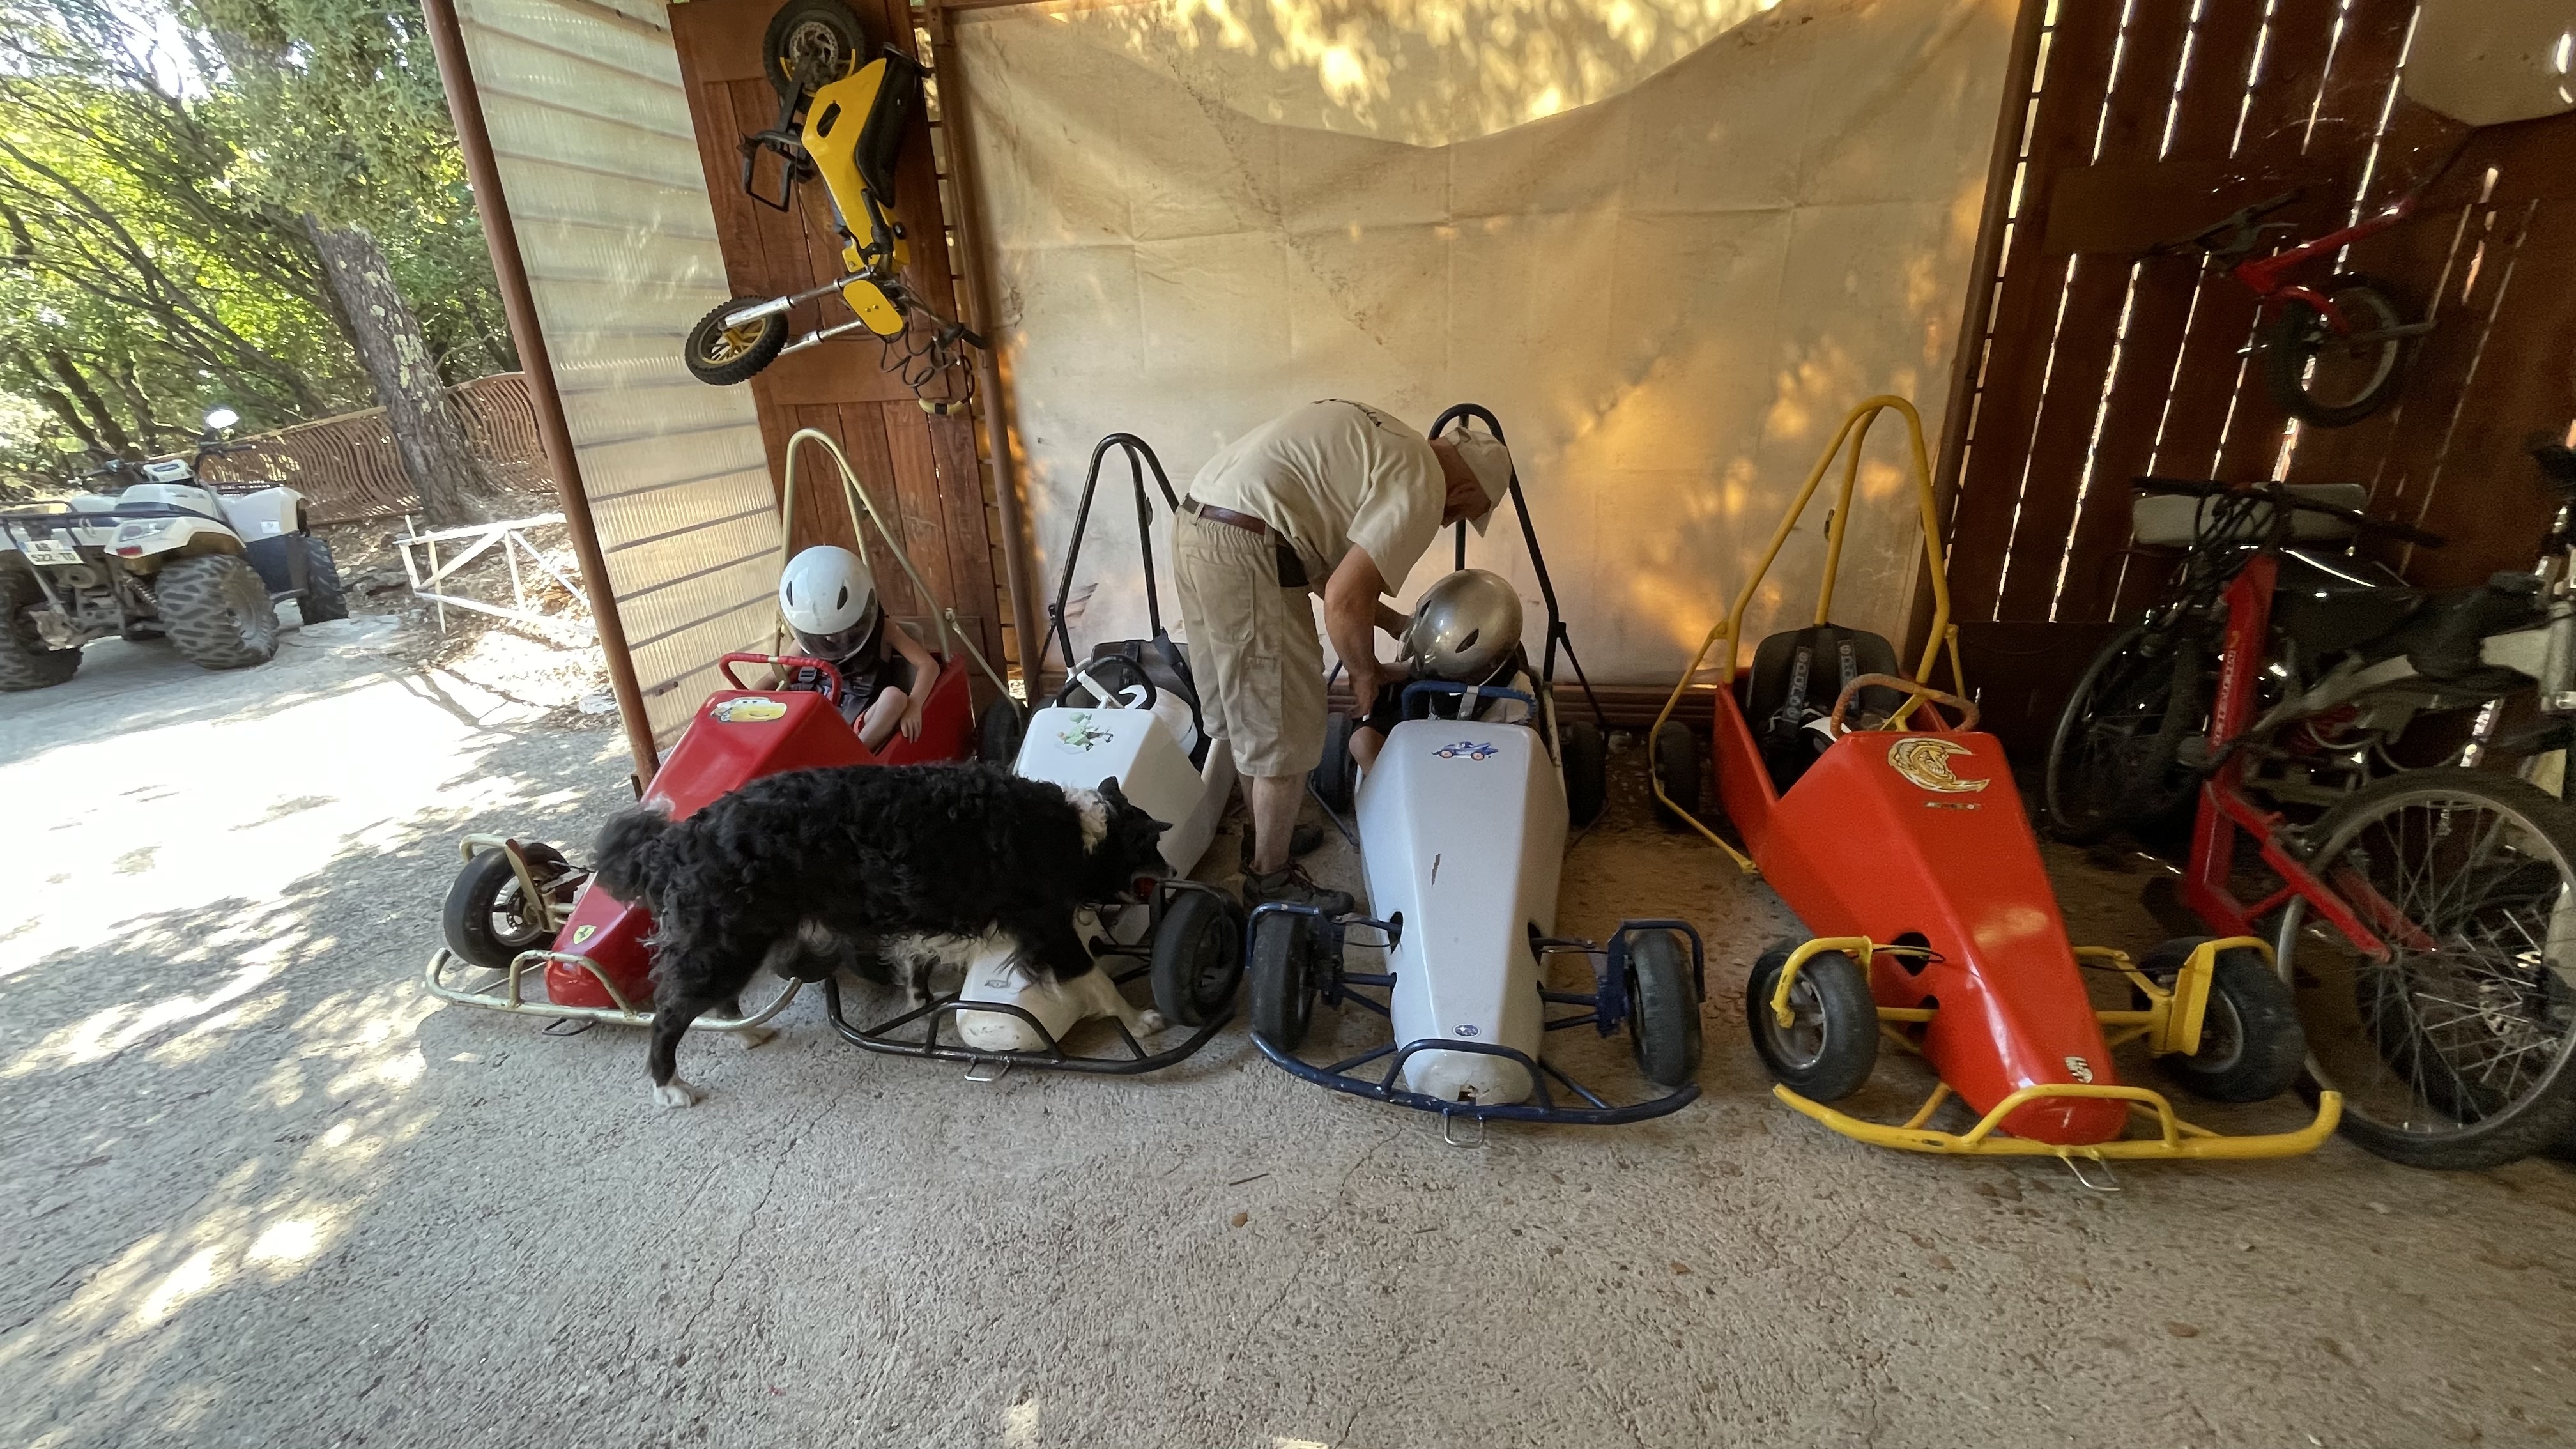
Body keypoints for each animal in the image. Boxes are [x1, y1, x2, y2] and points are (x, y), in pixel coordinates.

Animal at [591, 762, 1171, 1106]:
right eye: (1151, 847)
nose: (1170, 872)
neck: (1073, 831)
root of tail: (676, 839)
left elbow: (917, 966)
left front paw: (921, 1001)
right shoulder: (1047, 926)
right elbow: (1099, 983)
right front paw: (1140, 1021)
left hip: (741, 941)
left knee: (711, 1002)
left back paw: (745, 1033)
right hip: (727, 945)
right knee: (668, 1016)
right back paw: (671, 1086)